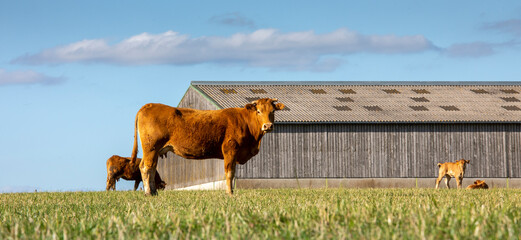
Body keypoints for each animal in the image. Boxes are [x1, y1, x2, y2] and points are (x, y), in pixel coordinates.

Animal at [130, 98, 284, 196]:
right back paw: (148, 193)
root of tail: (149, 105)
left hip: (155, 151)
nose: (268, 126)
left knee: (151, 168)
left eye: (272, 111)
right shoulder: (230, 150)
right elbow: (230, 173)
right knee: (146, 168)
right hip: (151, 148)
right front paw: (230, 193)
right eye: (258, 111)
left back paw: (154, 192)